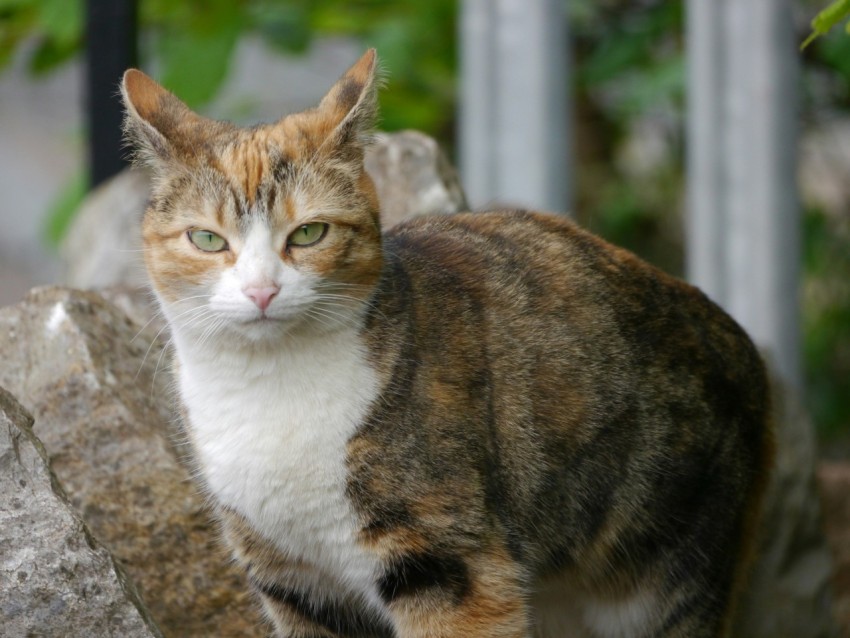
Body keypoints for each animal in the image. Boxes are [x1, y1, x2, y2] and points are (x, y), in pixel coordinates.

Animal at [122, 47, 772, 636]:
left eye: (308, 233)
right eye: (207, 239)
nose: (261, 291)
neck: (269, 389)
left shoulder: (452, 566)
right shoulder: (296, 582)